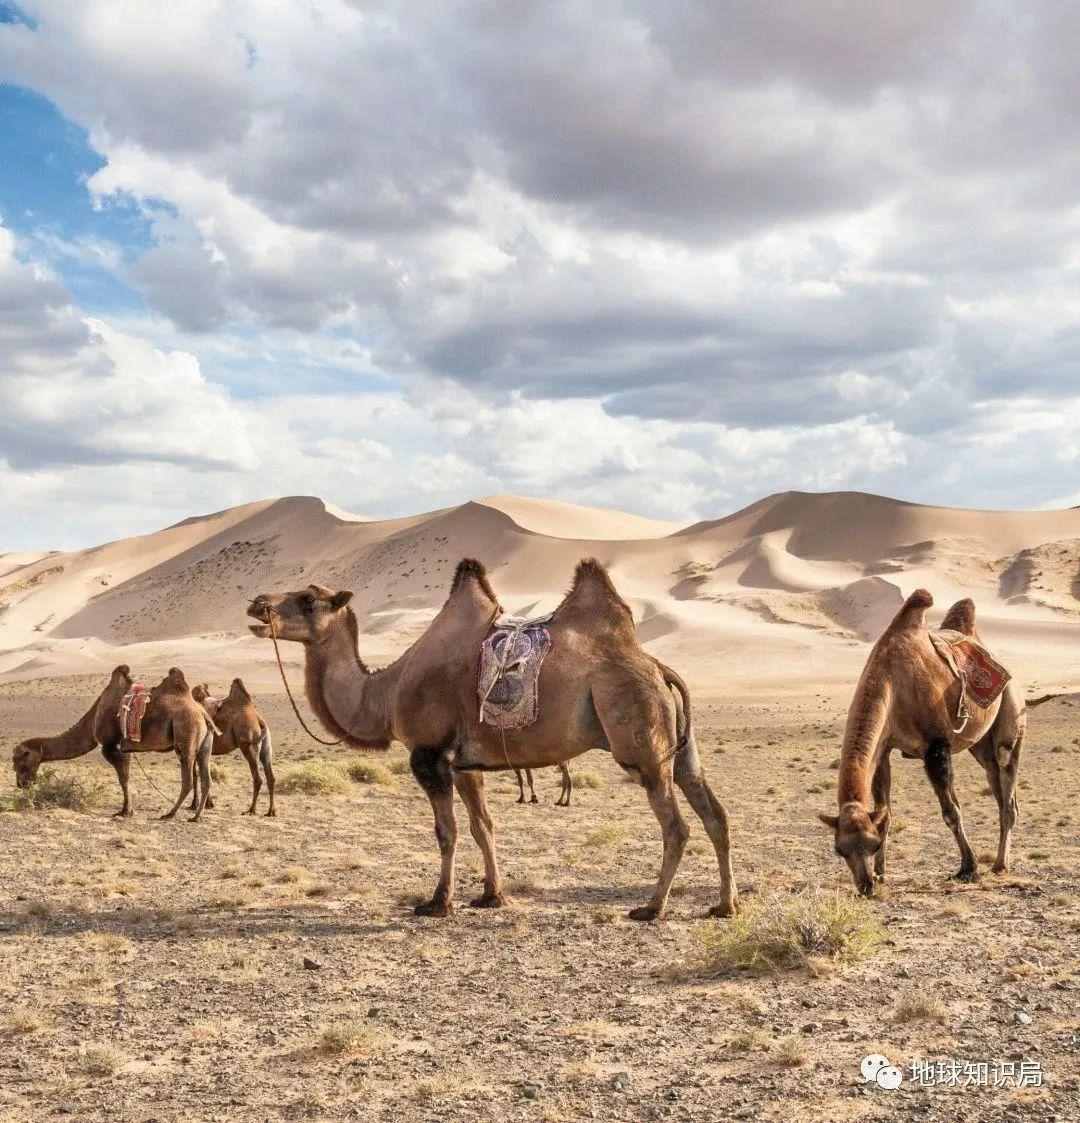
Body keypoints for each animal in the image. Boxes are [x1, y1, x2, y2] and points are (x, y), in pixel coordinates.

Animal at [12, 664, 136, 817]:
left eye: (21, 762)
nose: (20, 784)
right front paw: (127, 810)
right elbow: (124, 777)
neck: (92, 720)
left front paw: (126, 811)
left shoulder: (113, 745)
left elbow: (123, 778)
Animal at [121, 664, 217, 826]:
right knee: (206, 780)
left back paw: (170, 813)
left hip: (186, 739)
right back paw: (196, 816)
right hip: (205, 747)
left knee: (188, 781)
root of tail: (203, 714)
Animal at [193, 673, 278, 817]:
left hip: (248, 746)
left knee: (258, 778)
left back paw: (251, 809)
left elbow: (195, 773)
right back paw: (271, 811)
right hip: (266, 747)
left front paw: (196, 805)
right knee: (270, 777)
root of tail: (259, 720)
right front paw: (207, 804)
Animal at [250, 559, 740, 920]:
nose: (257, 604)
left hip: (641, 742)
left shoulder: (428, 755)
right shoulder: (467, 763)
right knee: (715, 814)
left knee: (676, 826)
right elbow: (482, 826)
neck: (385, 693)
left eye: (307, 599)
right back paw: (724, 905)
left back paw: (652, 908)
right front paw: (491, 895)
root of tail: (657, 666)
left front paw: (437, 902)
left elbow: (446, 831)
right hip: (681, 748)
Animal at [821, 592, 1023, 898]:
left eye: (872, 845)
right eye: (839, 849)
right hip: (980, 745)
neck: (892, 684)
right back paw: (1000, 859)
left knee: (1006, 778)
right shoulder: (884, 749)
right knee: (997, 786)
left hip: (1011, 716)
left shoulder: (936, 745)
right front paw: (881, 873)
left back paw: (1000, 865)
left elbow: (951, 811)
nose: (865, 886)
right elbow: (885, 812)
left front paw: (969, 868)